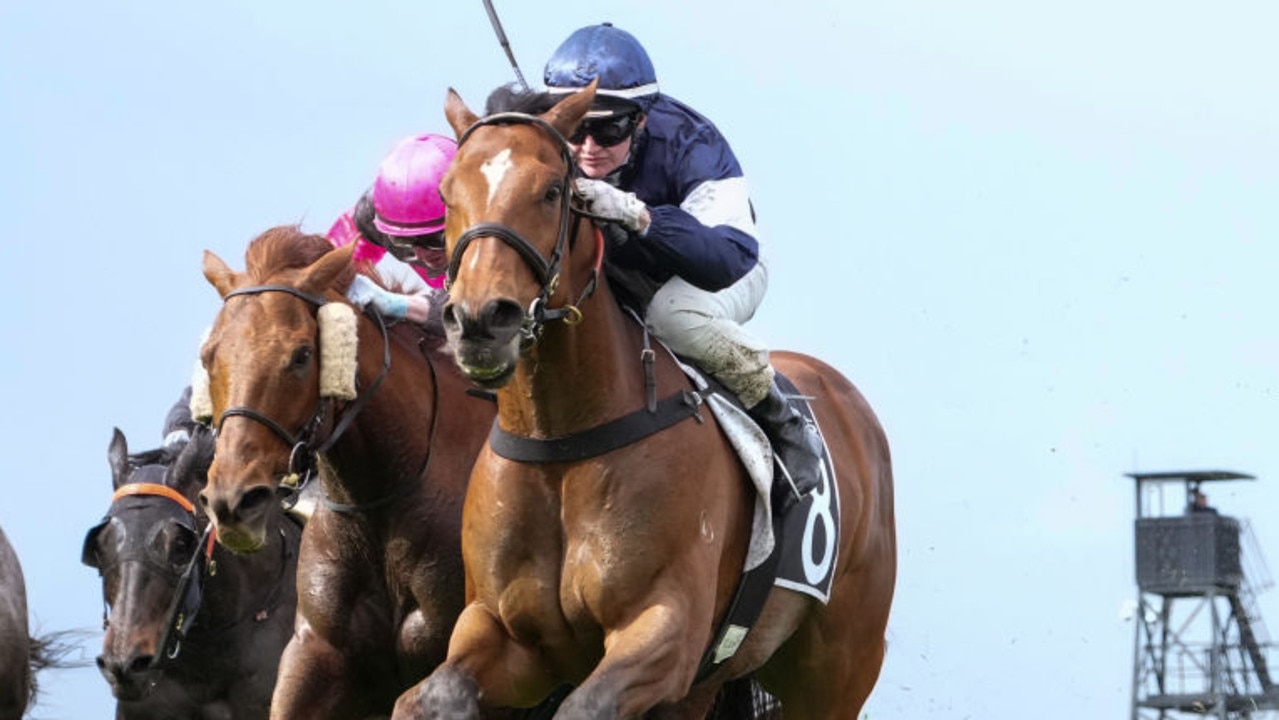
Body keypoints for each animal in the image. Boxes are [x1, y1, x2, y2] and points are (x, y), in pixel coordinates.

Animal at [399, 81, 900, 716]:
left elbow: (586, 706)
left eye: (553, 191)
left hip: (836, 667)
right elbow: (427, 698)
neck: (562, 440)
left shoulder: (665, 630)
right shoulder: (505, 634)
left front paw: (619, 206)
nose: (481, 320)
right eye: (446, 194)